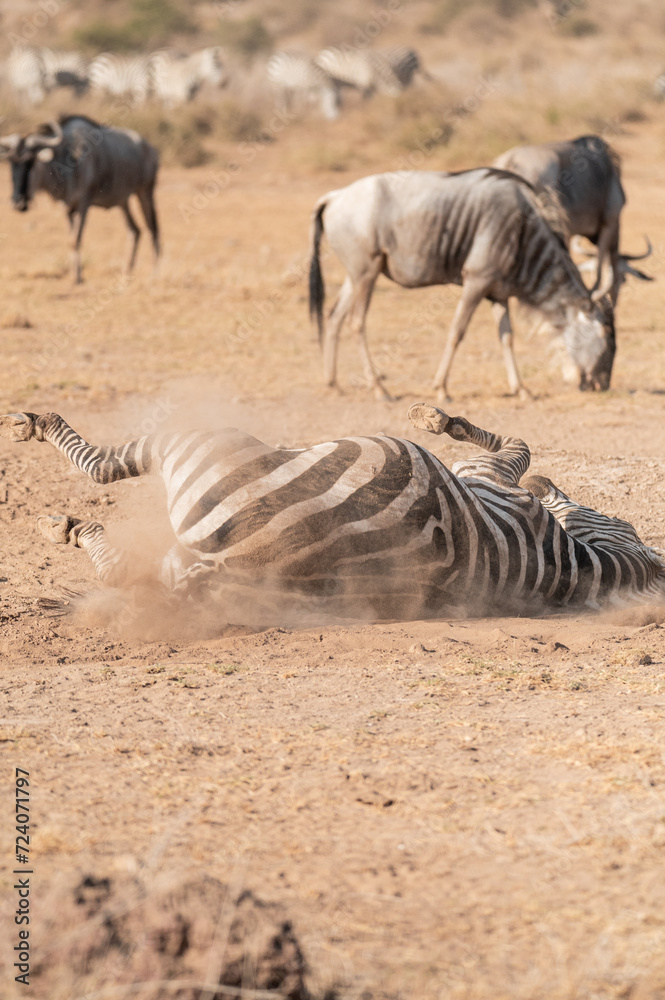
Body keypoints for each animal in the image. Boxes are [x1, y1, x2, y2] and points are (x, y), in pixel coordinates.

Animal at [1, 405, 664, 622]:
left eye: (623, 521)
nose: (549, 488)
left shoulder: (494, 477)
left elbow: (517, 443)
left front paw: (437, 418)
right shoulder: (499, 483)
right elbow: (519, 444)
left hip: (200, 446)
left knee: (106, 467)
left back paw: (37, 437)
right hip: (194, 558)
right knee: (128, 572)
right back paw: (69, 524)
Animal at [309, 168, 616, 400]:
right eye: (607, 341)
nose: (602, 386)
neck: (523, 232)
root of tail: (334, 197)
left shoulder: (498, 293)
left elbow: (507, 337)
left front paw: (521, 389)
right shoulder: (476, 282)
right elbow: (457, 331)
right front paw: (441, 389)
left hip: (356, 276)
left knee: (334, 317)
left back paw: (333, 383)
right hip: (366, 274)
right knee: (356, 322)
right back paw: (379, 388)